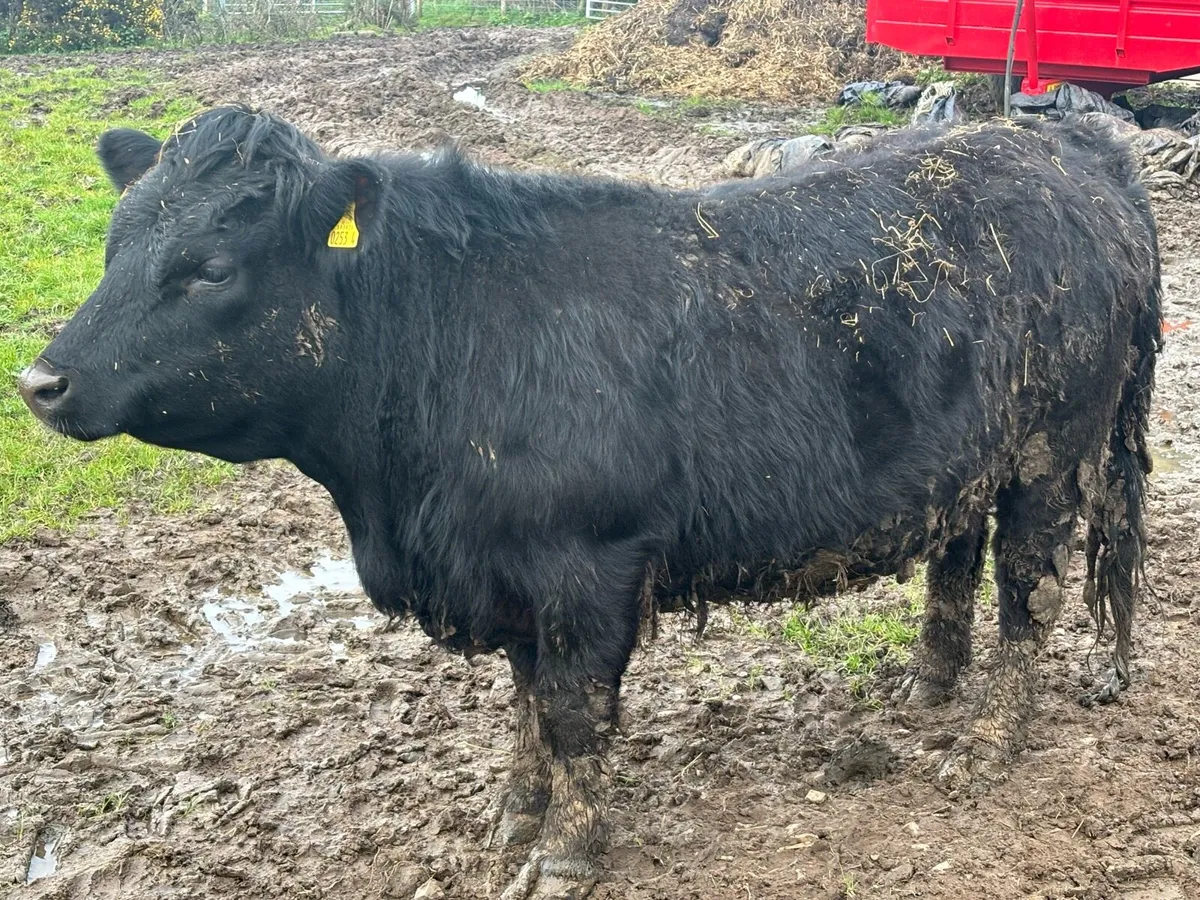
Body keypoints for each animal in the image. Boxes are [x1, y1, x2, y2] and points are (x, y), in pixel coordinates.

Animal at [19, 107, 1160, 899]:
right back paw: (928, 687)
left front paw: (569, 850)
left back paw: (990, 739)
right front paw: (516, 812)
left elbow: (570, 711)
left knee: (1030, 588)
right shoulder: (509, 571)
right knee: (956, 555)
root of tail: (1068, 145)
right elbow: (525, 700)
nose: (40, 381)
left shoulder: (585, 563)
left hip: (1053, 454)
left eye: (209, 266)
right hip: (969, 460)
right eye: (115, 242)